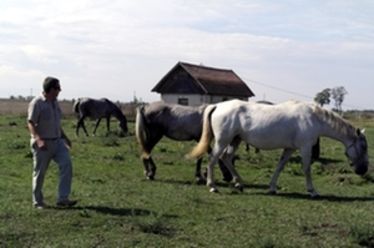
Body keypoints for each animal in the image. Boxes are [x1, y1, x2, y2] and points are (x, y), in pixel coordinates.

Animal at [188, 99, 370, 196]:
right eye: (363, 147)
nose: (363, 170)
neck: (313, 118)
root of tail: (217, 106)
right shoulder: (305, 148)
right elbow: (306, 169)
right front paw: (312, 191)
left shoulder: (289, 149)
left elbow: (280, 166)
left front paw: (272, 188)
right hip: (222, 141)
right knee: (213, 159)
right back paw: (212, 186)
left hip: (235, 141)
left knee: (226, 158)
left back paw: (239, 183)